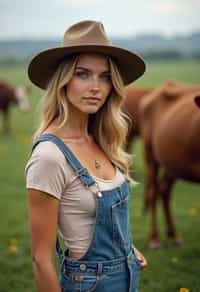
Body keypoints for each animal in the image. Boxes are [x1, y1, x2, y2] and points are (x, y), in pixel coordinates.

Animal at [138, 80, 200, 249]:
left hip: (173, 162)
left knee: (164, 190)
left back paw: (173, 235)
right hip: (150, 155)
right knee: (153, 192)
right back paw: (154, 239)